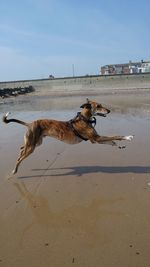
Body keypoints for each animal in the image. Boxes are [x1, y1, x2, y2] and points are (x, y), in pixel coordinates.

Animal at [2, 99, 134, 175]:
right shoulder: (96, 138)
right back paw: (14, 170)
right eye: (98, 106)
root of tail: (30, 123)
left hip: (36, 143)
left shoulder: (95, 140)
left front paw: (119, 145)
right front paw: (127, 137)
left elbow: (111, 141)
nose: (109, 111)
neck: (84, 119)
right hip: (32, 147)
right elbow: (116, 136)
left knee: (21, 149)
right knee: (20, 157)